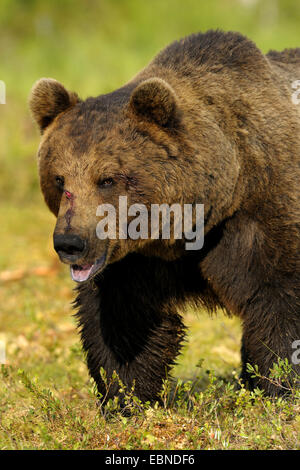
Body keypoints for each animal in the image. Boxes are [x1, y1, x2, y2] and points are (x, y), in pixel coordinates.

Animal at [29, 30, 300, 404]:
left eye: (107, 178)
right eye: (59, 179)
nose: (70, 242)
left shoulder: (261, 213)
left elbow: (279, 300)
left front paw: (279, 386)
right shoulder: (136, 258)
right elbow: (123, 321)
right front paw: (126, 396)